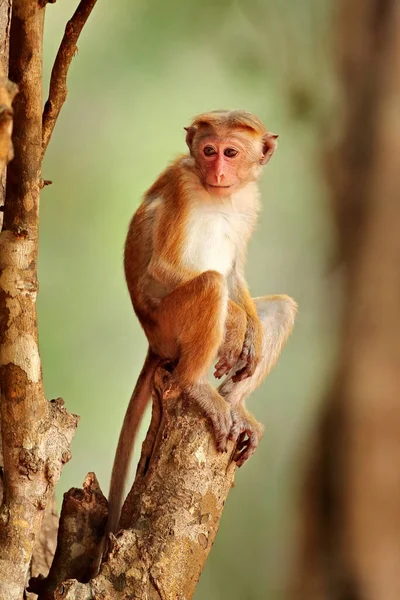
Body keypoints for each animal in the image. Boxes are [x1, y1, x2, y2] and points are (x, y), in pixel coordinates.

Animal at [108, 110, 296, 532]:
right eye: (209, 151)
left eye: (230, 152)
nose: (218, 171)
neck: (221, 195)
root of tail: (153, 341)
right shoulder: (181, 185)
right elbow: (165, 268)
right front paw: (236, 326)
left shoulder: (250, 201)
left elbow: (235, 273)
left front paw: (249, 331)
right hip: (169, 323)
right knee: (210, 285)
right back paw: (197, 386)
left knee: (280, 306)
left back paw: (235, 403)